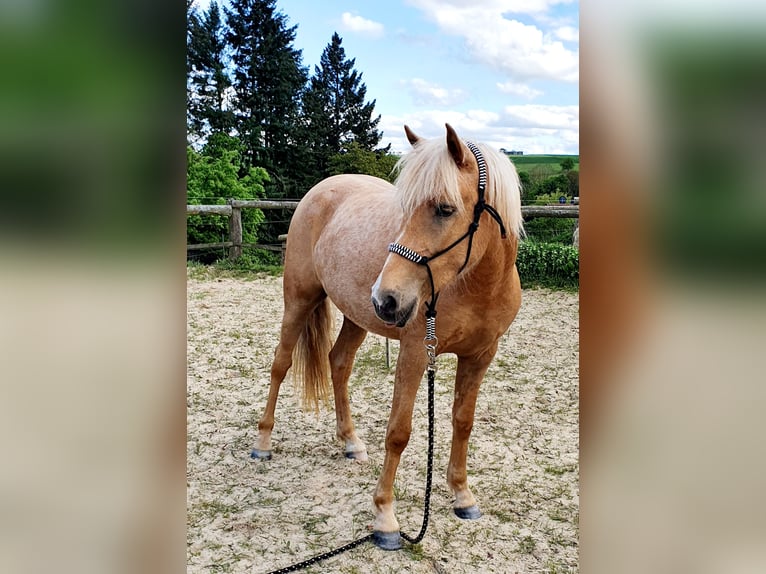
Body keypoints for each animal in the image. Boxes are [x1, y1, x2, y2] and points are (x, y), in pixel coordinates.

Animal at [255, 125, 524, 548]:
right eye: (406, 208)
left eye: (445, 209)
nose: (387, 299)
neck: (475, 285)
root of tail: (320, 190)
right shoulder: (415, 353)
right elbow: (399, 432)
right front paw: (385, 517)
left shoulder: (481, 356)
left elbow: (463, 422)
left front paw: (462, 496)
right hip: (299, 300)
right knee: (280, 365)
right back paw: (262, 444)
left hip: (357, 317)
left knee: (338, 363)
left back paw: (350, 442)